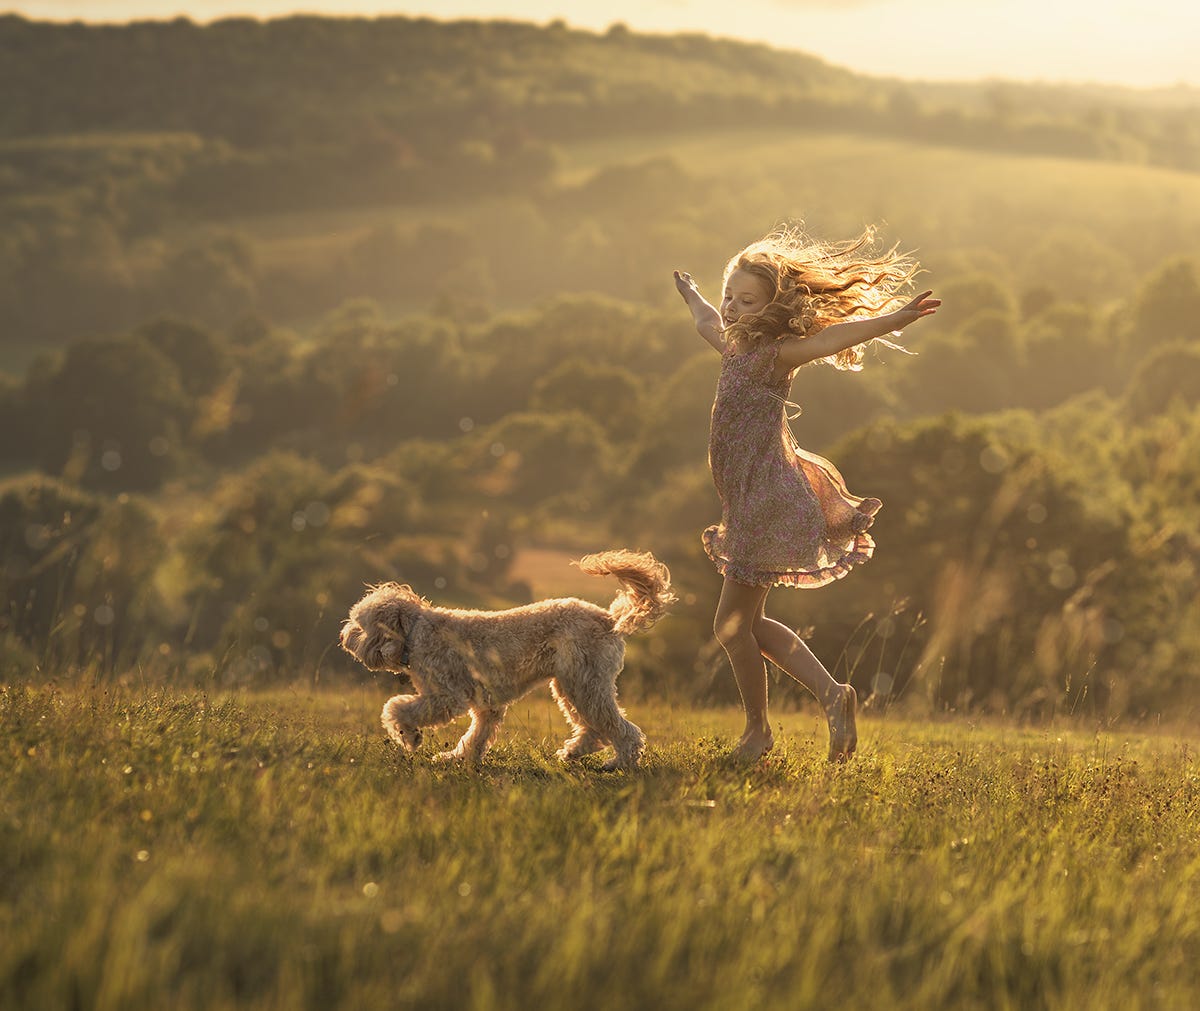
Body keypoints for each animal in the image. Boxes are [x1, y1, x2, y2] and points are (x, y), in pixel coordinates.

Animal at [340, 547, 676, 768]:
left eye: (360, 625)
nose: (343, 638)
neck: (415, 633)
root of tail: (608, 619)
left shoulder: (447, 697)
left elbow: (396, 708)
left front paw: (409, 737)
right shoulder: (486, 706)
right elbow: (475, 735)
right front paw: (459, 758)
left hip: (585, 685)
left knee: (622, 730)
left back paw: (620, 762)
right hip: (571, 686)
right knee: (593, 729)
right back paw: (573, 753)